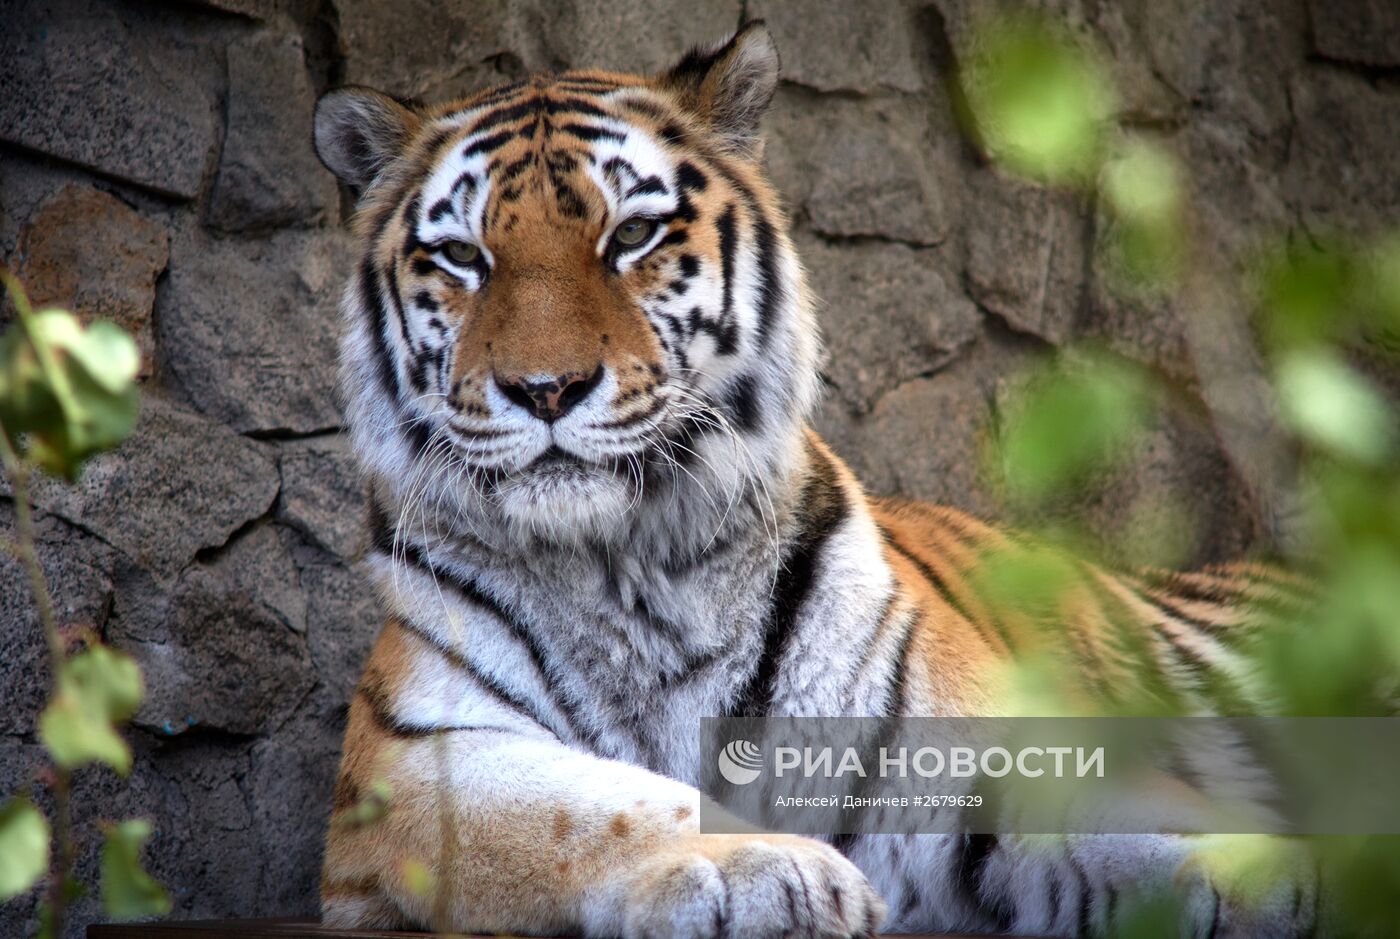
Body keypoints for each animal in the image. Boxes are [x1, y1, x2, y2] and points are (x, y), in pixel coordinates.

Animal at [309, 22, 1321, 939]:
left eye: (631, 234)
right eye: (462, 257)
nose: (545, 388)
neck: (628, 568)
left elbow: (1161, 827)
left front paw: (1284, 886)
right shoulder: (415, 764)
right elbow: (595, 806)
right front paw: (770, 869)